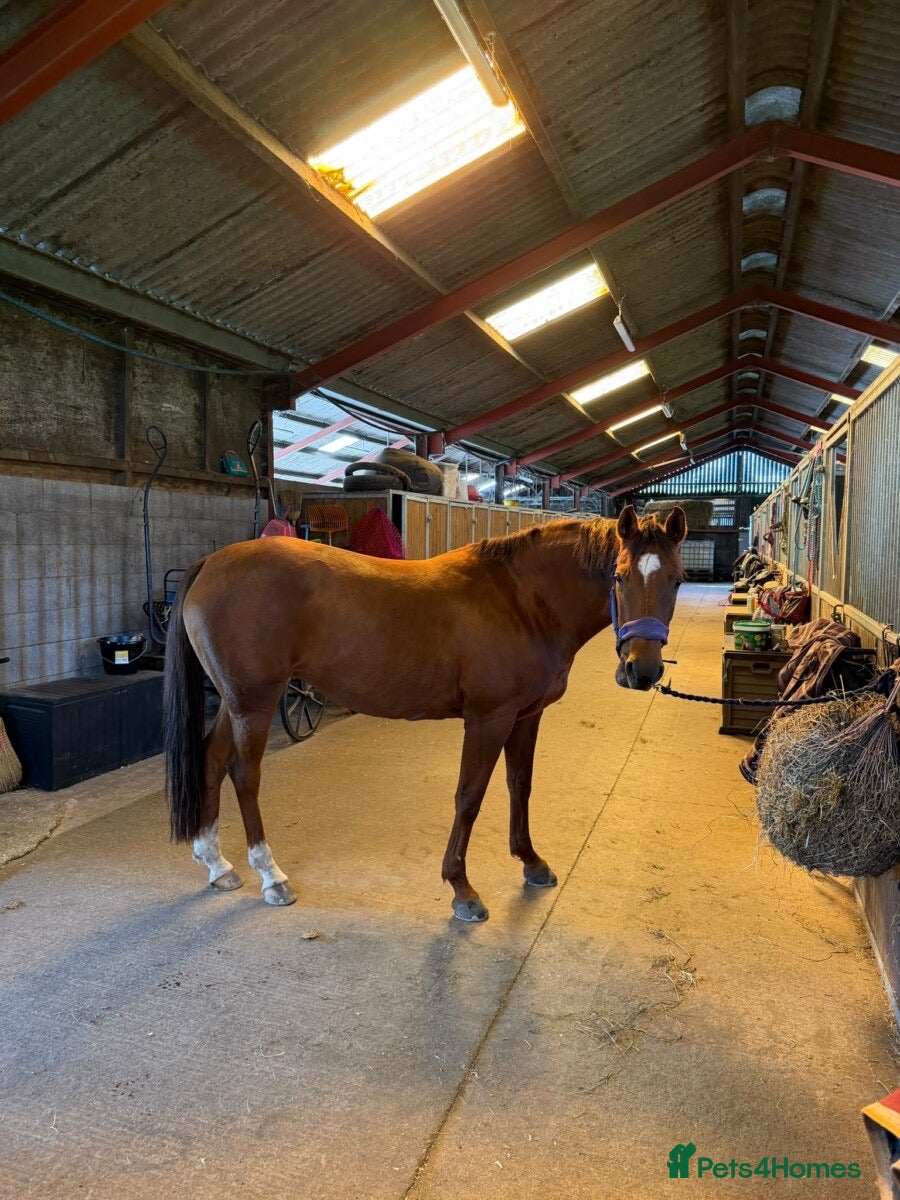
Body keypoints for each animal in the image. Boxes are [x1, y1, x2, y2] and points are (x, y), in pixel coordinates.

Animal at [164, 503, 686, 922]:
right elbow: (469, 796)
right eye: (619, 576)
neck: (520, 600)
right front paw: (462, 889)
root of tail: (209, 563)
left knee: (211, 761)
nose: (642, 670)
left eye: (677, 580)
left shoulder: (525, 716)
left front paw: (531, 861)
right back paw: (271, 876)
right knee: (244, 774)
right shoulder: (489, 718)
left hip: (235, 703)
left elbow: (520, 785)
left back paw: (217, 865)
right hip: (255, 701)